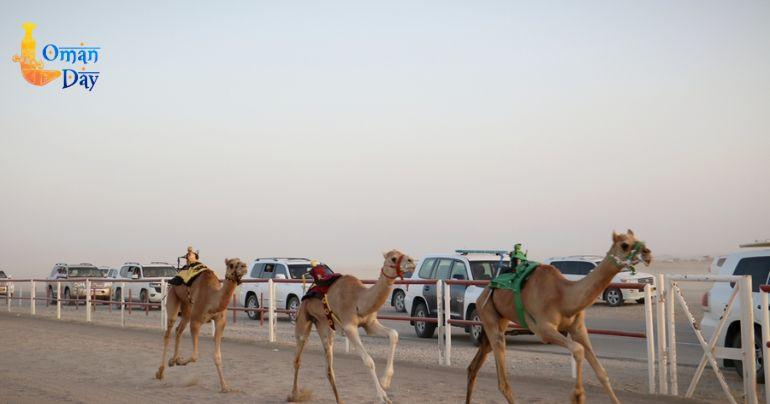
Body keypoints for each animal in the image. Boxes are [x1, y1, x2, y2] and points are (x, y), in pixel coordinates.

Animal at [155, 253, 248, 393]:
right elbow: (195, 356)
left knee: (179, 330)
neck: (212, 299)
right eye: (231, 265)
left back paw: (173, 360)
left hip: (187, 308)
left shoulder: (220, 322)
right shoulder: (196, 321)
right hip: (173, 296)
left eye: (241, 261)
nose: (244, 266)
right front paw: (181, 362)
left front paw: (225, 386)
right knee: (168, 332)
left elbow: (217, 356)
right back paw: (160, 372)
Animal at [288, 249, 416, 404]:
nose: (411, 261)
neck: (359, 301)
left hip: (324, 326)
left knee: (329, 368)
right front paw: (383, 396)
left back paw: (339, 401)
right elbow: (369, 361)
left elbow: (393, 334)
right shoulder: (349, 327)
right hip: (303, 320)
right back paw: (294, 395)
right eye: (393, 258)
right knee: (297, 359)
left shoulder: (370, 324)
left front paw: (385, 381)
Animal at [466, 230, 652, 404]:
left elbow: (602, 373)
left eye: (636, 239)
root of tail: (483, 292)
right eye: (624, 245)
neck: (564, 297)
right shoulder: (543, 330)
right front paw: (578, 396)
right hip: (488, 314)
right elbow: (578, 350)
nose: (647, 252)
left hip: (499, 321)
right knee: (503, 382)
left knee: (473, 367)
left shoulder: (578, 329)